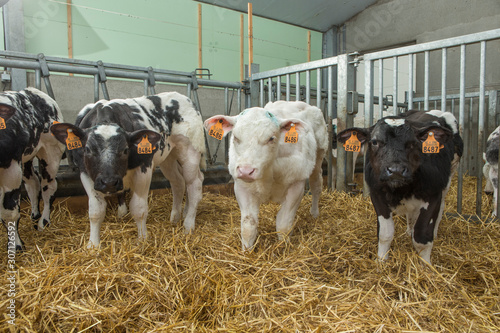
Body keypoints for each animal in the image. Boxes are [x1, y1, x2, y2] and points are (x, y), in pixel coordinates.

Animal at [0, 87, 65, 250]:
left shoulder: (11, 171)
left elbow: (9, 212)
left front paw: (16, 246)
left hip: (50, 153)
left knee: (48, 187)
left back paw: (43, 222)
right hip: (27, 157)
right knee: (33, 183)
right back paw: (35, 216)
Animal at [50, 91, 205, 246]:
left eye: (125, 150)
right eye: (87, 149)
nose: (109, 182)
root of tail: (180, 96)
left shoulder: (144, 167)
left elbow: (138, 208)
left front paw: (142, 240)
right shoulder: (85, 172)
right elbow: (95, 210)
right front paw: (93, 245)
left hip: (190, 151)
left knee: (194, 184)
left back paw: (188, 224)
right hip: (168, 158)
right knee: (178, 182)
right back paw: (176, 217)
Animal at [204, 100, 328, 248]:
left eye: (271, 138)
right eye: (236, 137)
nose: (246, 171)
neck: (268, 171)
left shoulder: (296, 185)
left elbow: (283, 223)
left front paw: (283, 247)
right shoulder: (241, 188)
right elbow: (248, 225)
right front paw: (247, 250)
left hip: (319, 154)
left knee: (316, 185)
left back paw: (314, 213)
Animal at [338, 110, 462, 264]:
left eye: (413, 143)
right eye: (374, 142)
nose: (396, 170)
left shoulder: (433, 194)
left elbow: (422, 236)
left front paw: (426, 265)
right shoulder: (377, 194)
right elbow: (385, 233)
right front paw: (381, 261)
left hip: (450, 176)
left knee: (440, 210)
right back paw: (409, 231)